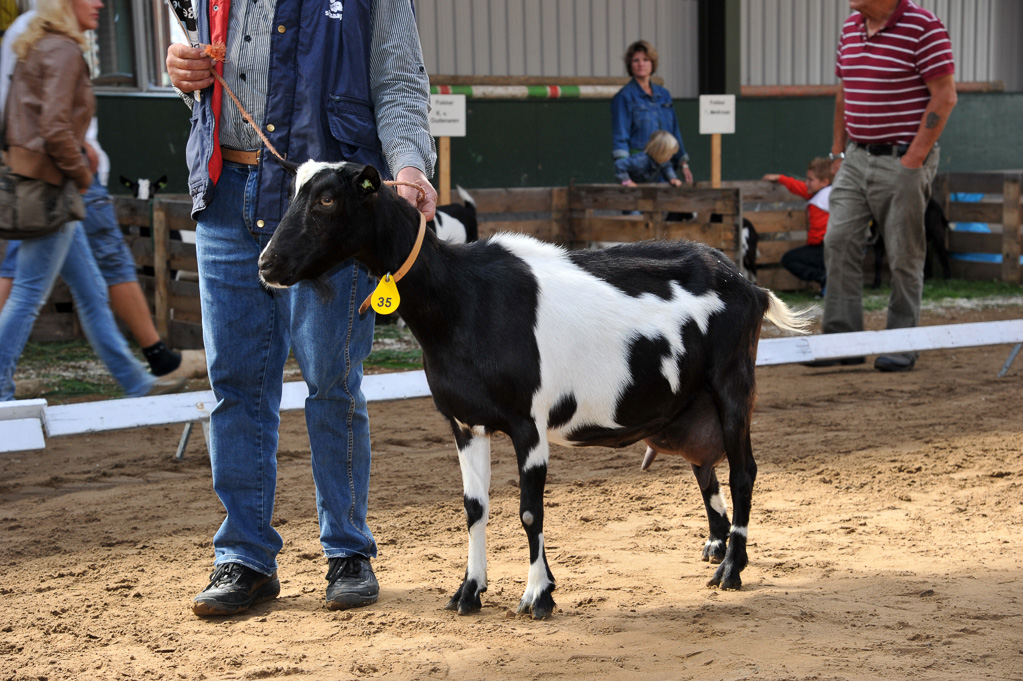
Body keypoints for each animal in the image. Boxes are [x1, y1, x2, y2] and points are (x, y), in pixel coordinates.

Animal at [253, 161, 806, 617]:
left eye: (327, 199)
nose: (266, 264)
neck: (463, 298)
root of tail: (749, 285)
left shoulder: (529, 423)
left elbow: (528, 510)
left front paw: (538, 595)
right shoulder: (465, 422)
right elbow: (474, 507)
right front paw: (469, 592)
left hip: (733, 382)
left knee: (742, 472)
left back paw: (732, 569)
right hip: (687, 405)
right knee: (704, 467)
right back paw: (717, 548)